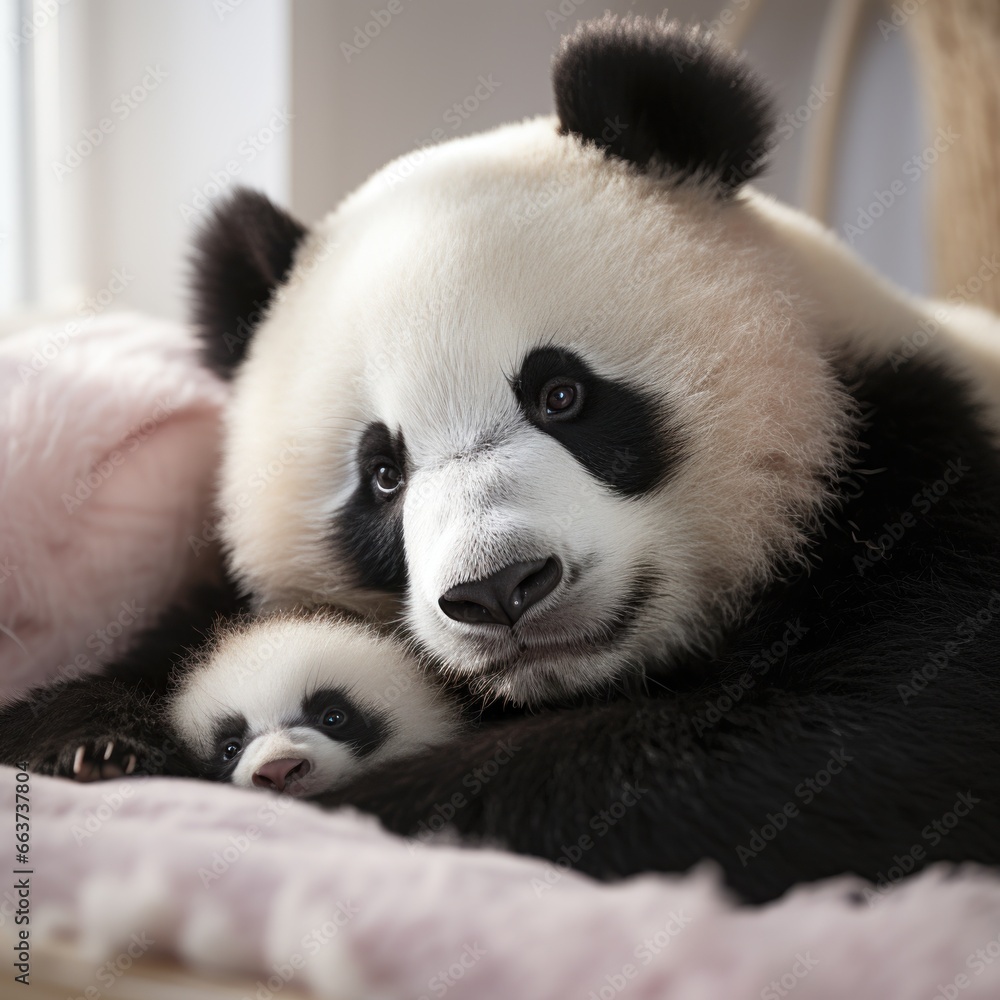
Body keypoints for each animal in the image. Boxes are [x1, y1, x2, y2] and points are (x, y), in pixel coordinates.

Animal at [5, 13, 1000, 908]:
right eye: (382, 474)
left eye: (561, 396)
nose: (498, 589)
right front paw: (93, 748)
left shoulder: (924, 490)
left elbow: (845, 749)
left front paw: (355, 805)